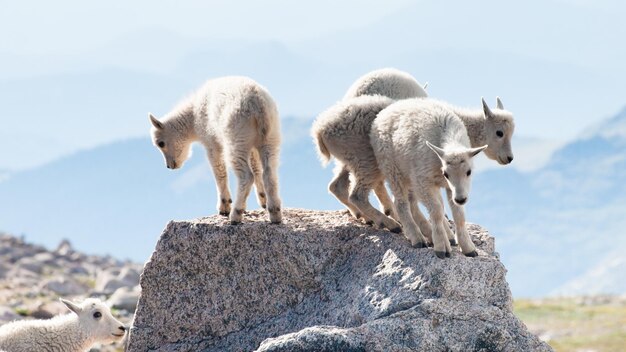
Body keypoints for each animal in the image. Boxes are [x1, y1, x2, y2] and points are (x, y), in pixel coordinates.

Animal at [149, 76, 280, 224]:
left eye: (161, 143)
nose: (170, 166)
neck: (193, 116)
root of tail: (258, 106)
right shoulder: (252, 146)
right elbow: (256, 167)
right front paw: (263, 200)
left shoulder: (212, 142)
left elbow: (219, 170)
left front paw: (224, 206)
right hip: (270, 138)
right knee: (269, 172)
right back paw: (275, 213)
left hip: (236, 140)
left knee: (246, 175)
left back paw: (235, 214)